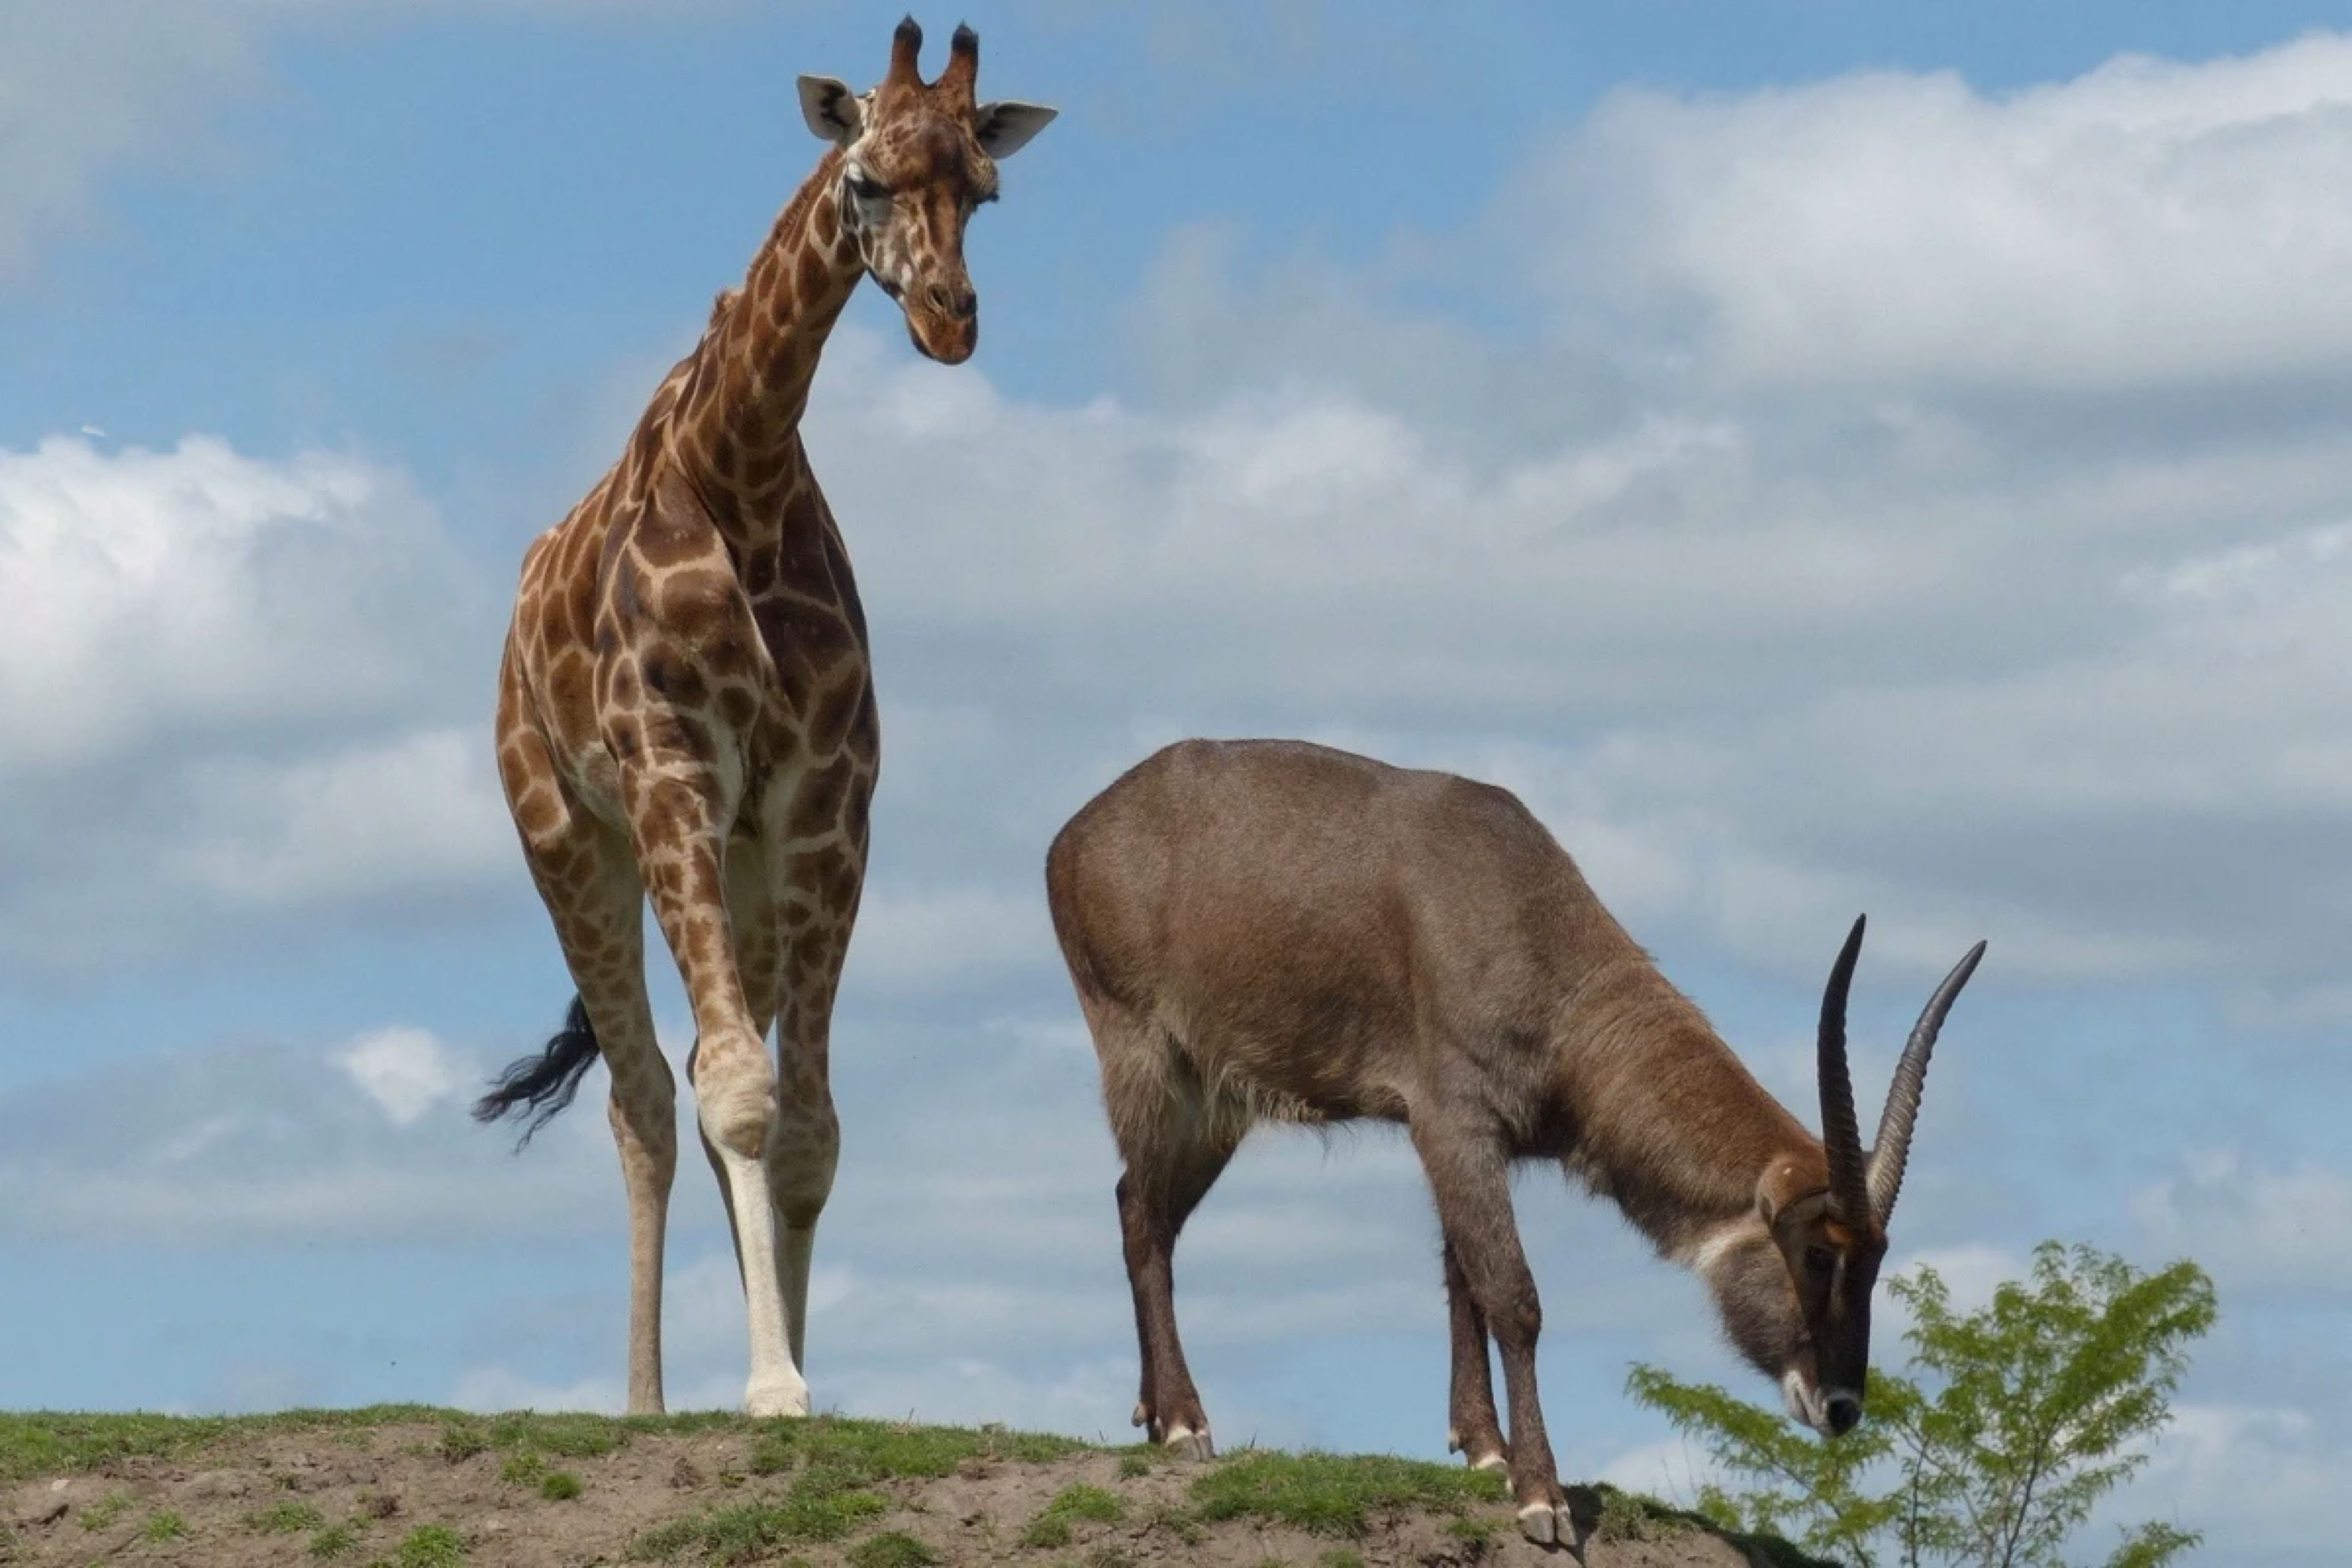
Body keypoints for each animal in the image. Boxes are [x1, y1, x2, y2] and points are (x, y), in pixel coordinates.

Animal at [473, 17, 1055, 1418]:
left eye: (985, 190)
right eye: (865, 179)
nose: (950, 322)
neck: (737, 472)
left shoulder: (824, 802)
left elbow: (804, 1126)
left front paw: (792, 1375)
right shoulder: (670, 772)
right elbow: (738, 1091)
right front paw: (773, 1385)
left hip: (743, 870)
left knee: (690, 1074)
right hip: (567, 837)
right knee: (642, 1091)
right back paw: (642, 1400)